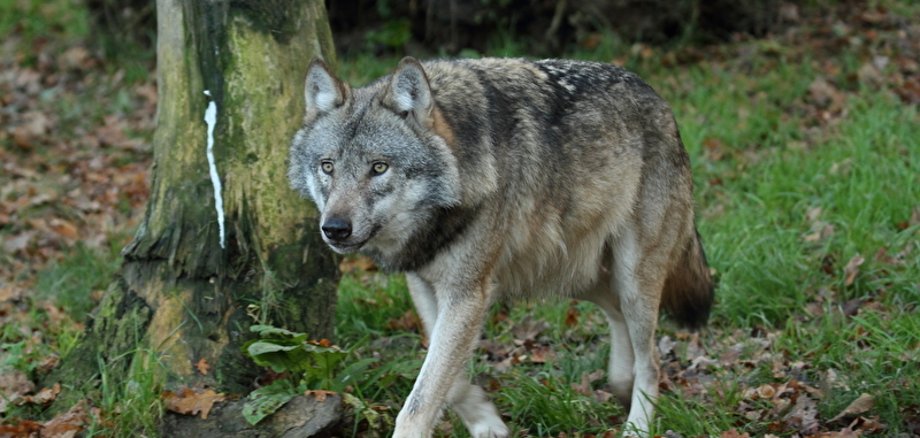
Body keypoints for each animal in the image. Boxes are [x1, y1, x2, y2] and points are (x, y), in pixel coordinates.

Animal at [292, 56, 716, 436]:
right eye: (328, 167)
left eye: (379, 167)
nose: (334, 229)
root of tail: (659, 100)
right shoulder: (426, 286)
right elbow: (449, 379)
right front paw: (487, 423)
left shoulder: (467, 294)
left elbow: (420, 401)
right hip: (576, 276)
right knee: (617, 318)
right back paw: (620, 384)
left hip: (631, 278)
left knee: (653, 361)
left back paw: (636, 426)